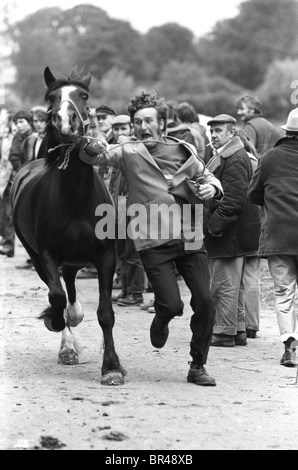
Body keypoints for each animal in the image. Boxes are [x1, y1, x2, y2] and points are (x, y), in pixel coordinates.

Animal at [11, 67, 124, 386]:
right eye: (51, 97)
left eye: (83, 95)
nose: (66, 120)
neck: (76, 198)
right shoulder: (48, 254)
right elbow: (57, 297)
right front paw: (58, 324)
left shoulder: (105, 256)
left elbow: (105, 312)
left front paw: (112, 367)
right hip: (38, 256)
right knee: (62, 289)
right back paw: (68, 344)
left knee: (71, 280)